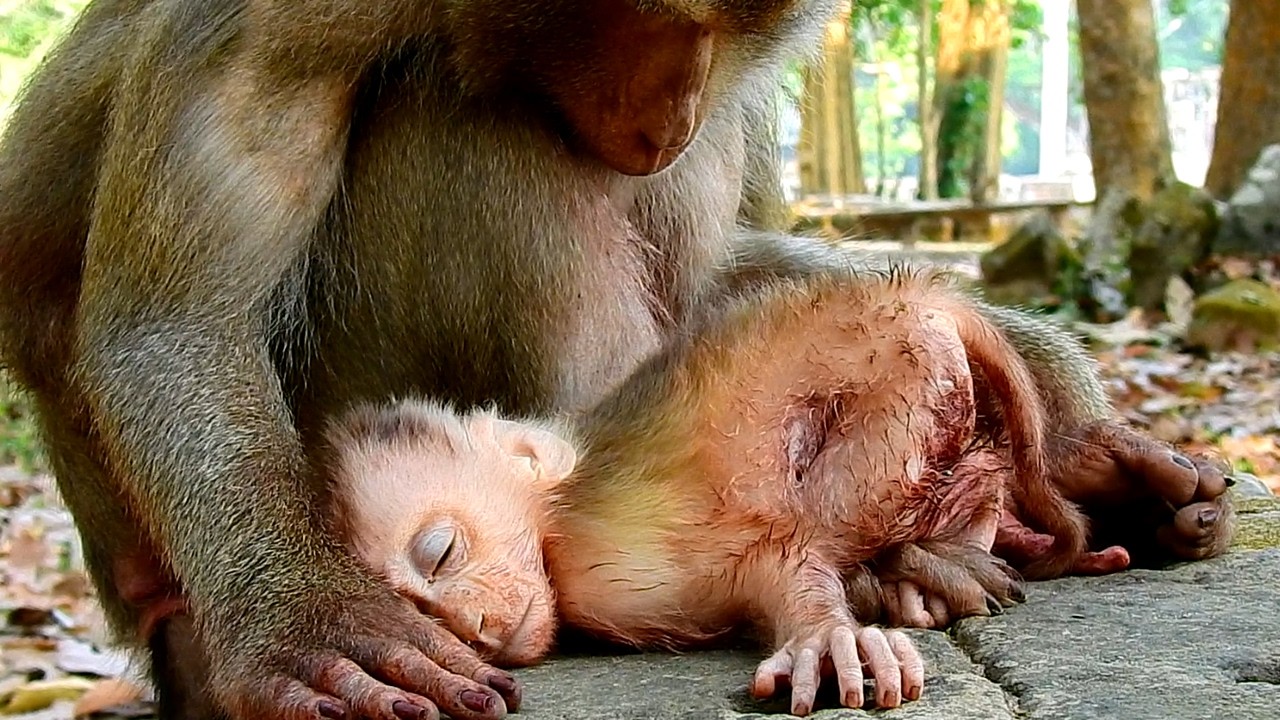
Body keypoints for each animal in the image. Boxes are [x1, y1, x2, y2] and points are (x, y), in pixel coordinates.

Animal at [323, 269, 1112, 716]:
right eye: (425, 613)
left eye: (440, 552)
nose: (473, 627)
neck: (554, 513)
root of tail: (913, 290)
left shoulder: (602, 560)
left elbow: (778, 555)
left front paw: (827, 634)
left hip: (904, 359)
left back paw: (939, 549)